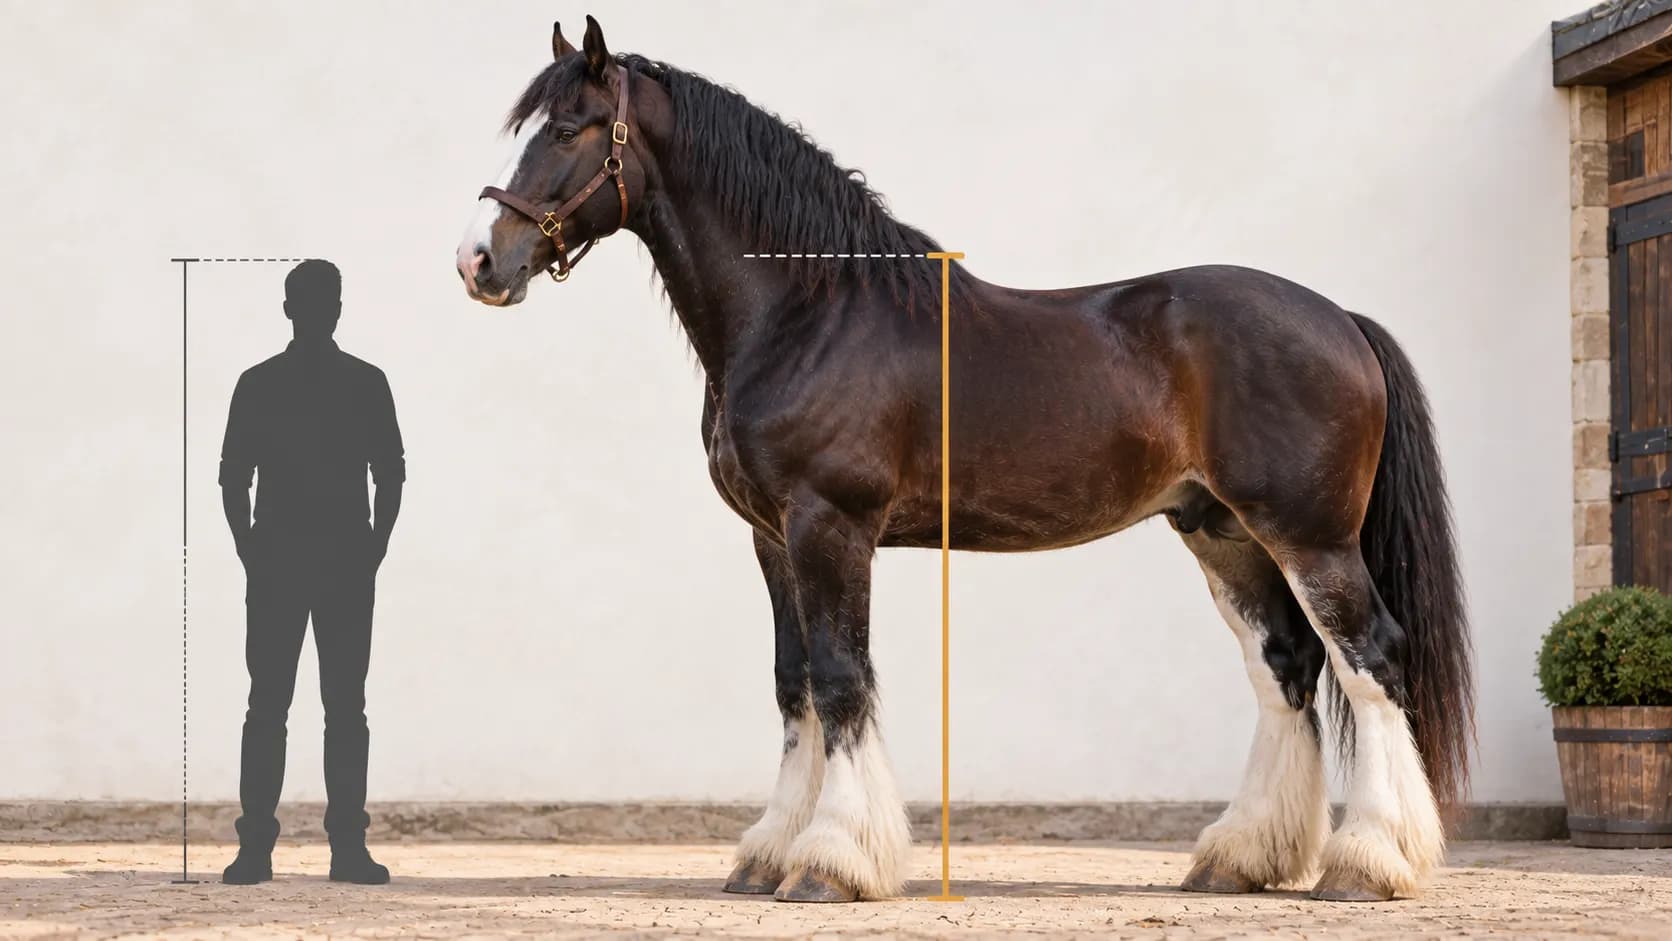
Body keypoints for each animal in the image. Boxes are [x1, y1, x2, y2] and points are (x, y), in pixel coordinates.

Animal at [454, 16, 1474, 905]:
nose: (477, 261)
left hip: (1311, 538)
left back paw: (1368, 863)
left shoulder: (830, 526)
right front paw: (770, 852)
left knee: (1370, 660)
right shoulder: (772, 538)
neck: (808, 314)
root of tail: (1341, 318)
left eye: (570, 130)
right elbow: (795, 686)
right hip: (1223, 533)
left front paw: (832, 862)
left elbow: (841, 678)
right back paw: (1240, 857)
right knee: (1285, 668)